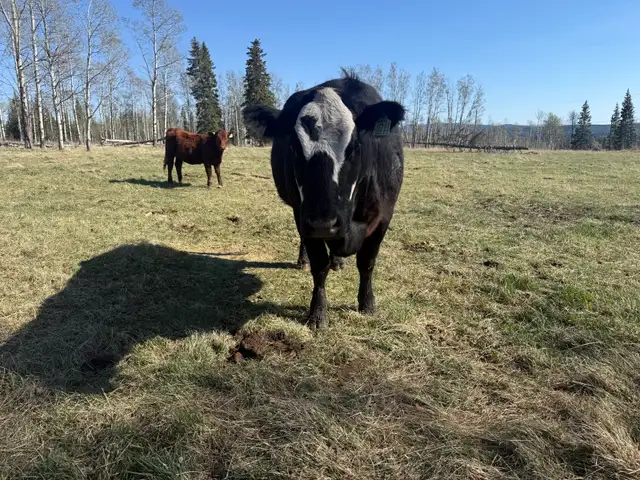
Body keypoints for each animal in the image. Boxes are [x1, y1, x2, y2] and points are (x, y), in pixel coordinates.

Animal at [242, 70, 405, 329]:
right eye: (294, 147)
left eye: (354, 147)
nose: (323, 224)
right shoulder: (304, 216)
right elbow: (320, 265)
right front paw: (317, 314)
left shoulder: (384, 215)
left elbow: (367, 262)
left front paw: (367, 304)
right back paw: (304, 260)